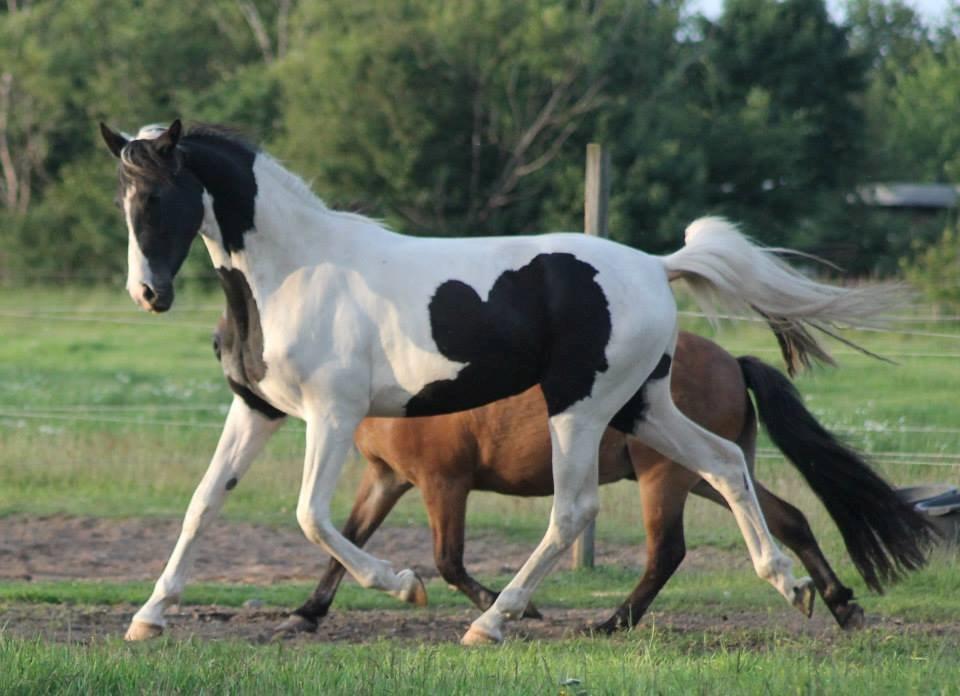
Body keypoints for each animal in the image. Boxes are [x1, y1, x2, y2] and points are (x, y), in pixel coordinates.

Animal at [103, 121, 908, 648]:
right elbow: (204, 505)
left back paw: (494, 621)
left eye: (161, 195)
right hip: (643, 410)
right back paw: (795, 587)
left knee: (577, 510)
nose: (149, 294)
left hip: (580, 411)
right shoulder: (258, 411)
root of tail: (656, 265)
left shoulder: (332, 416)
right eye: (124, 198)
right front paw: (149, 617)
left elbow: (313, 517)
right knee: (727, 464)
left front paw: (403, 583)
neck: (292, 274)